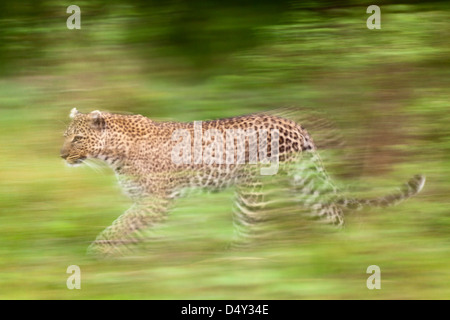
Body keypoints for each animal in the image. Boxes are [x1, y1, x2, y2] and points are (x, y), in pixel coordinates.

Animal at [60, 108, 426, 258]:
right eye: (65, 136)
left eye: (77, 138)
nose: (61, 155)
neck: (111, 154)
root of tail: (294, 123)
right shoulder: (144, 200)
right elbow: (128, 227)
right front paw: (123, 255)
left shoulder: (157, 200)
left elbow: (120, 226)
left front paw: (98, 255)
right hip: (301, 182)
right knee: (331, 213)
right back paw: (338, 249)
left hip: (252, 189)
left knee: (251, 230)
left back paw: (232, 261)